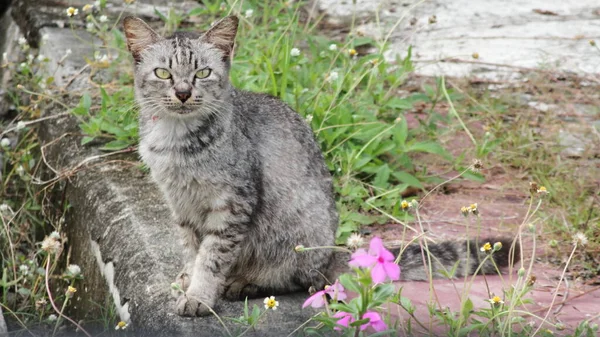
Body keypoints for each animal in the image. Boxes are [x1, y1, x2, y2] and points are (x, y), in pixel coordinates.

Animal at [122, 15, 516, 316]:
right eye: (163, 73)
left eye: (202, 73)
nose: (183, 92)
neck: (176, 141)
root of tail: (331, 251)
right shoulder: (181, 205)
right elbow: (192, 250)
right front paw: (188, 278)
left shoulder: (233, 203)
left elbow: (212, 257)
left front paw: (200, 295)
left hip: (298, 233)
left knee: (298, 279)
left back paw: (245, 283)